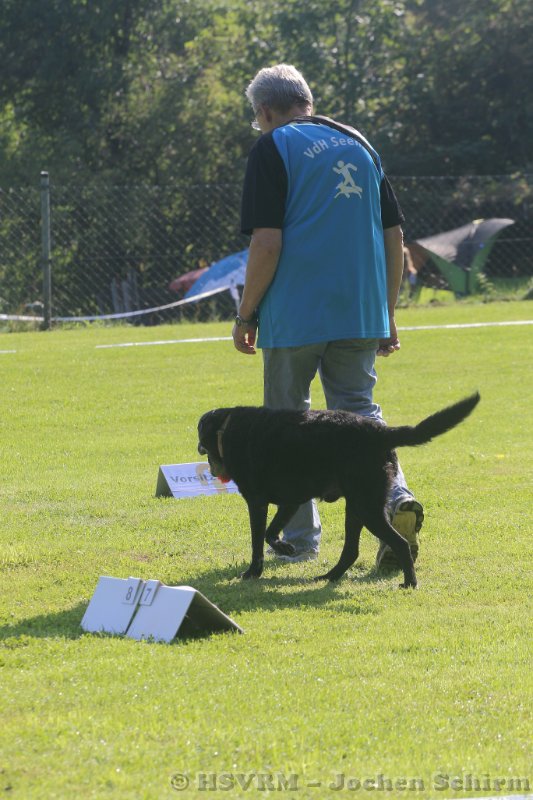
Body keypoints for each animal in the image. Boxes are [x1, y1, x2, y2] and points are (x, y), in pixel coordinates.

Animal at [197, 393, 480, 588]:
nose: (202, 453)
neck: (226, 428)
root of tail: (380, 432)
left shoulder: (257, 501)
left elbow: (257, 540)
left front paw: (252, 572)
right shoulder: (291, 502)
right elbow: (271, 532)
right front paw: (285, 548)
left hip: (366, 506)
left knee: (399, 543)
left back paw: (409, 583)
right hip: (356, 506)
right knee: (351, 551)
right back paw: (329, 576)